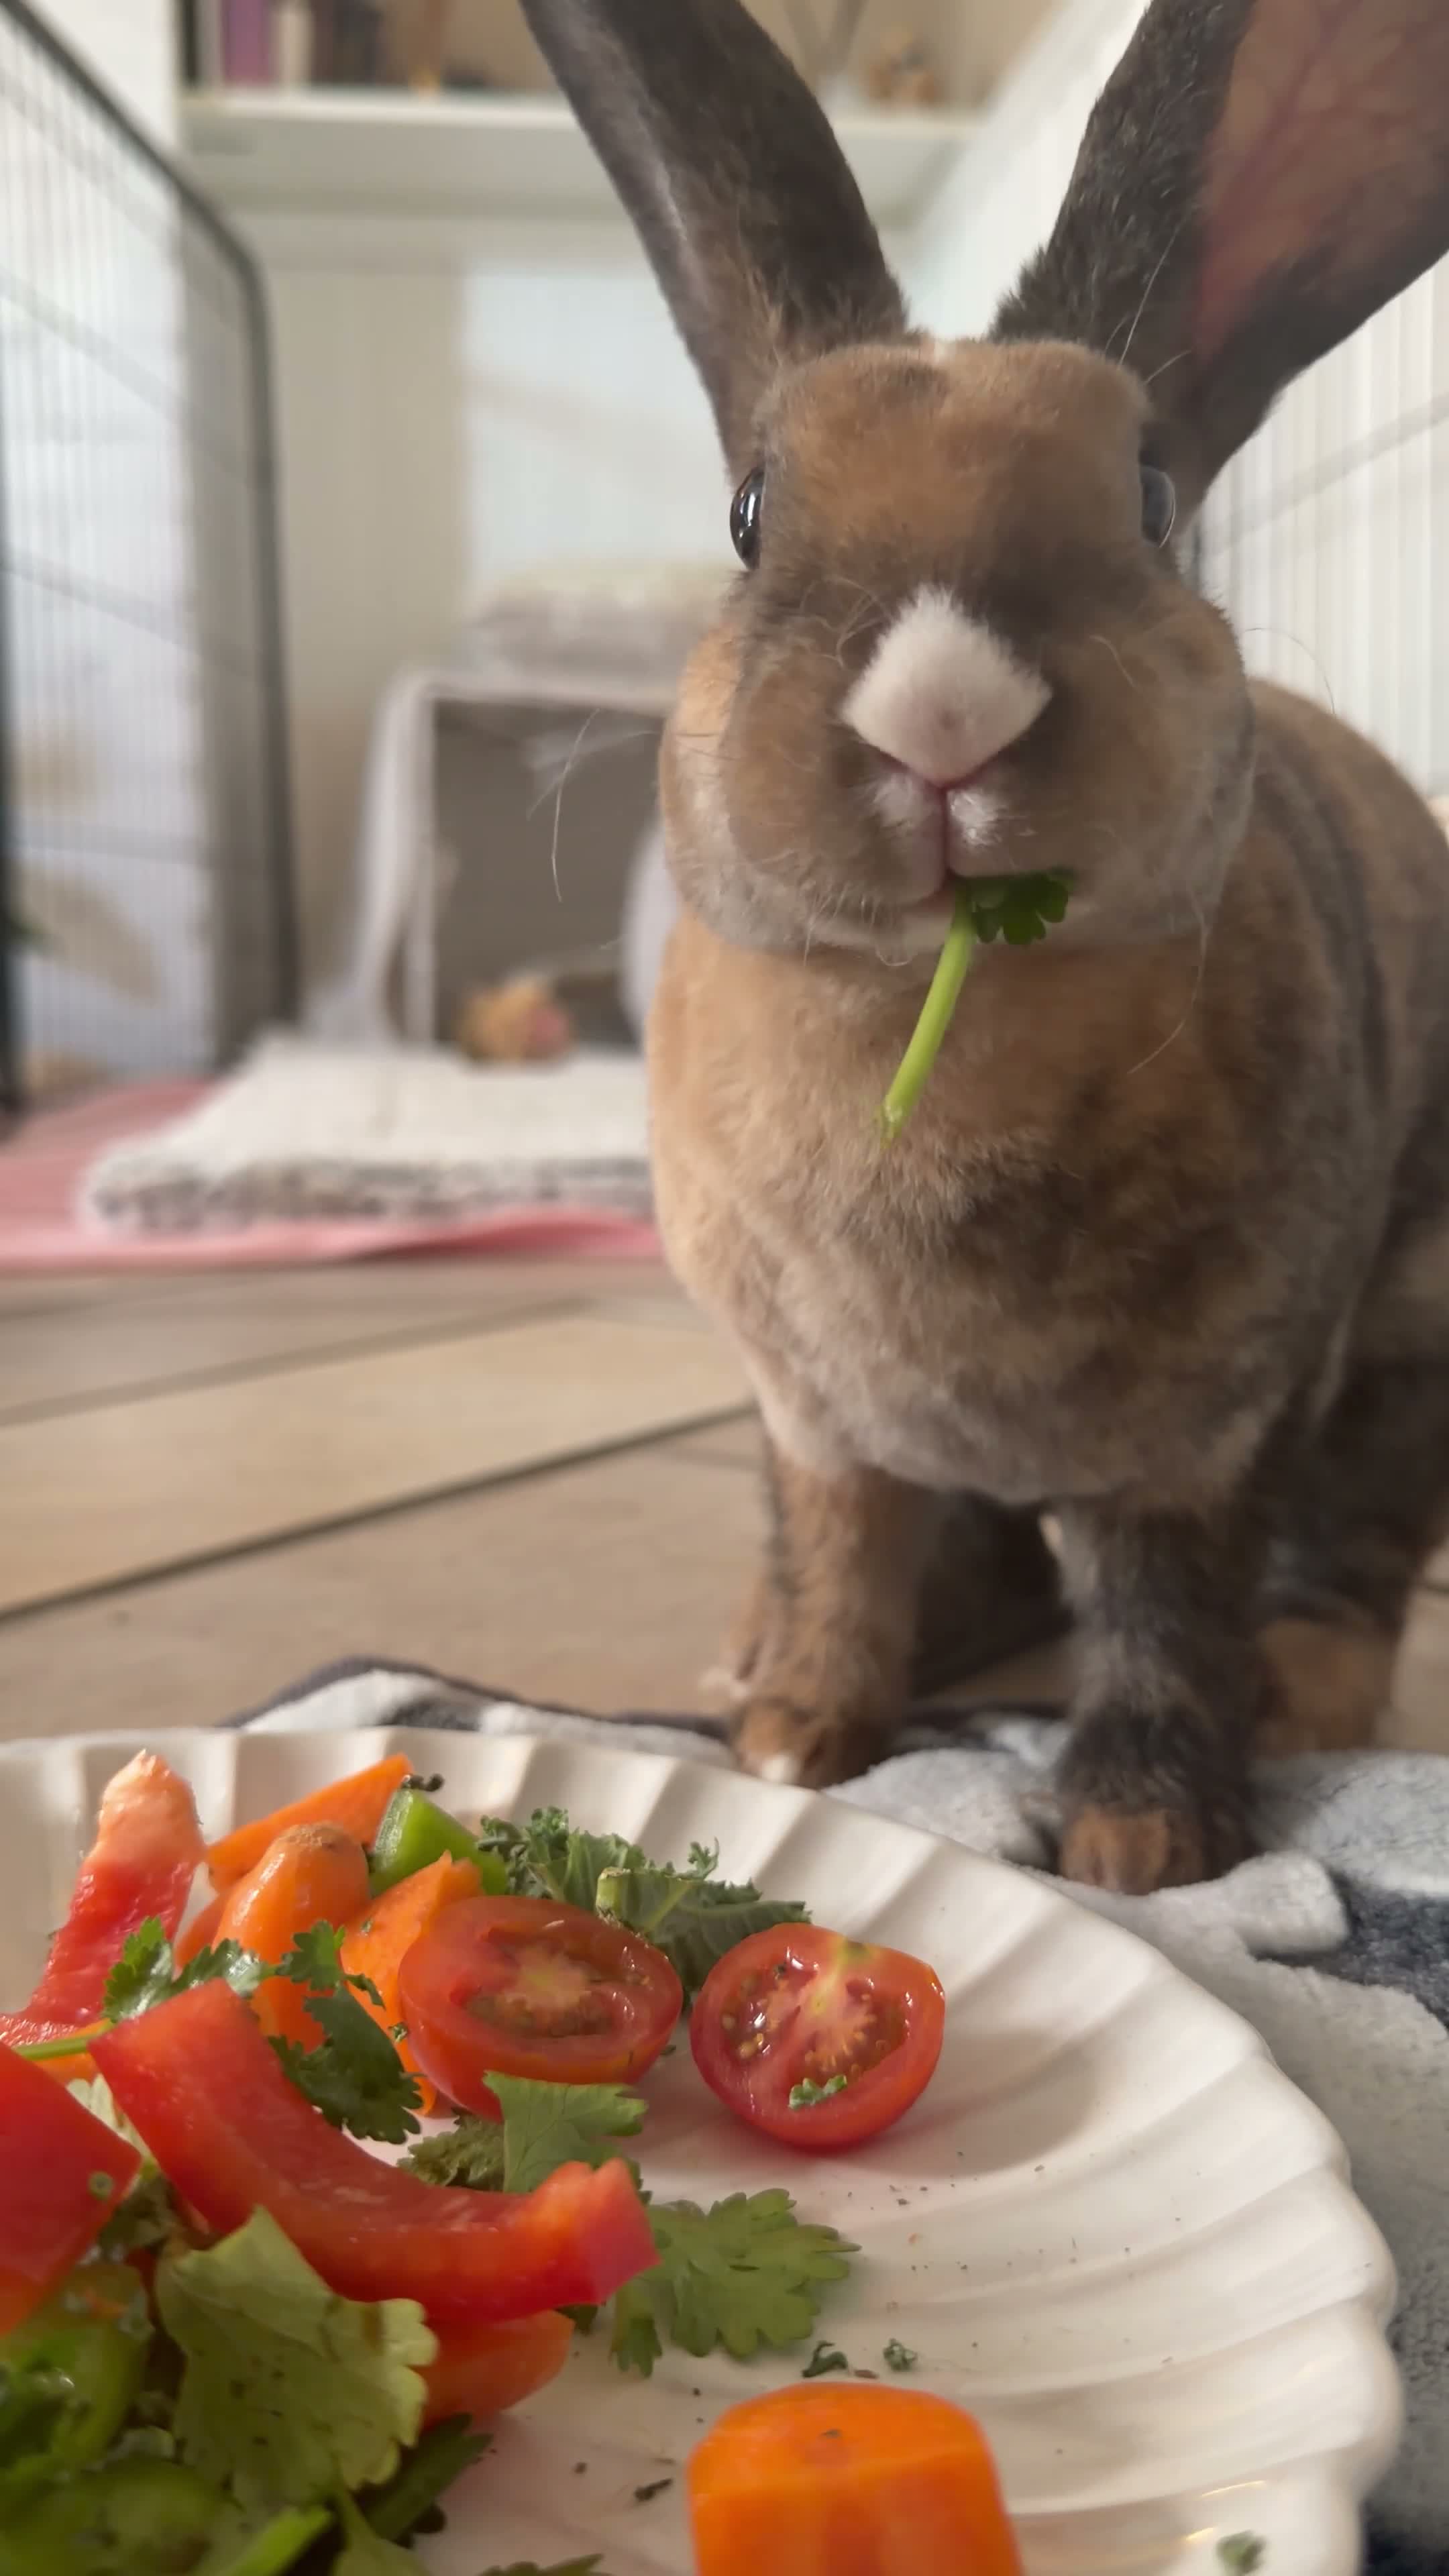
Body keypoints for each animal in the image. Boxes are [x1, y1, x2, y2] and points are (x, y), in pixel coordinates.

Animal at [519, 0, 1449, 1892]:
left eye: (1153, 494)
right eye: (751, 513)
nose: (942, 711)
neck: (930, 1014)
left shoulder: (1200, 1438)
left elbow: (1164, 1613)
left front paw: (1139, 1839)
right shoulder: (809, 1418)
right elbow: (838, 1550)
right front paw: (797, 1734)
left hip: (1411, 1325)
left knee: (1359, 1539)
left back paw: (1305, 1695)